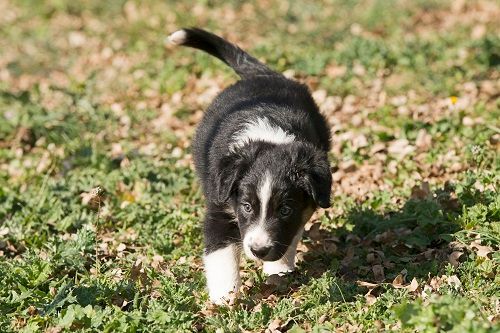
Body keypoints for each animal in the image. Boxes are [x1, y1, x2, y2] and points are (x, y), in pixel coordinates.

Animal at [168, 27, 332, 304]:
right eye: (246, 207)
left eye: (285, 210)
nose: (259, 250)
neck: (268, 136)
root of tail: (264, 75)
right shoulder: (220, 207)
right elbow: (221, 255)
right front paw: (224, 300)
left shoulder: (302, 209)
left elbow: (291, 232)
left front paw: (278, 271)